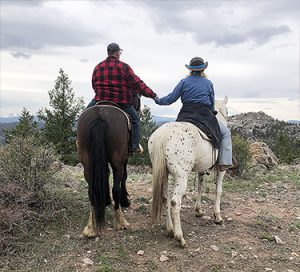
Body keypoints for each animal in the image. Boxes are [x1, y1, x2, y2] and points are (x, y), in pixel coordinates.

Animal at [77, 103, 132, 237]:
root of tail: (100, 116)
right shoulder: (125, 159)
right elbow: (124, 177)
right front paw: (125, 200)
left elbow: (105, 174)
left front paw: (105, 200)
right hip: (117, 161)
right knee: (116, 188)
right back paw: (120, 222)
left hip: (87, 163)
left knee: (92, 190)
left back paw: (91, 227)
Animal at [149, 96, 229, 248]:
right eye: (227, 111)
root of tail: (163, 135)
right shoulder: (221, 170)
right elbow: (218, 190)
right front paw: (217, 216)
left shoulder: (201, 169)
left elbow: (200, 187)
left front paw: (198, 210)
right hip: (181, 176)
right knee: (175, 202)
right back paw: (179, 237)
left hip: (165, 174)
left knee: (165, 198)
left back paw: (170, 229)